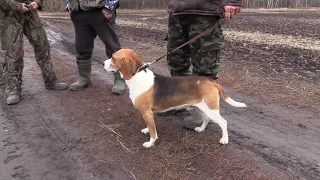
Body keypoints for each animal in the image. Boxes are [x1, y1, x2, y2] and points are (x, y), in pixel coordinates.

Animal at [104, 48, 246, 148]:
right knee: (206, 119)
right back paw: (200, 129)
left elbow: (153, 130)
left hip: (211, 109)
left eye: (113, 57)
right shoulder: (147, 113)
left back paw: (224, 140)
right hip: (201, 107)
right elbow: (150, 125)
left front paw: (151, 142)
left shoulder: (146, 112)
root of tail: (210, 81)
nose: (103, 63)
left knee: (223, 122)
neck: (136, 75)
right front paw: (146, 130)